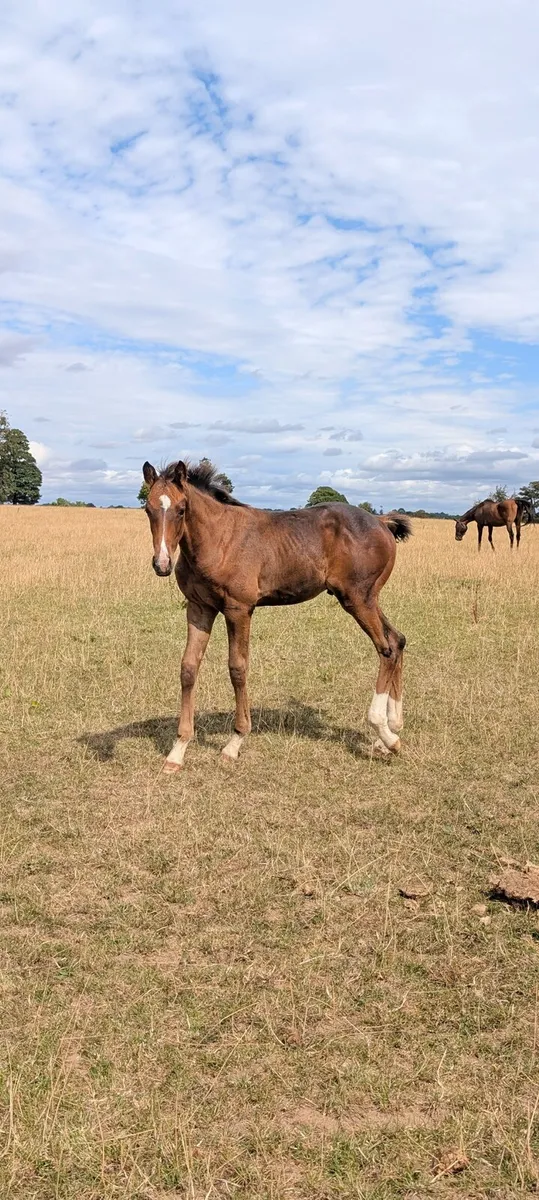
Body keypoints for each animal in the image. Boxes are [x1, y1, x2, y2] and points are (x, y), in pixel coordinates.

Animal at [142, 459, 411, 772]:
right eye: (147, 509)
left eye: (182, 509)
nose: (162, 564)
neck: (218, 540)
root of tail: (381, 523)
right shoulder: (199, 607)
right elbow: (188, 668)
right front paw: (178, 750)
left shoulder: (239, 609)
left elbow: (237, 668)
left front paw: (235, 742)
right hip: (368, 598)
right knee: (397, 640)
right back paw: (391, 729)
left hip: (357, 599)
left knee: (386, 648)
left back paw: (385, 732)